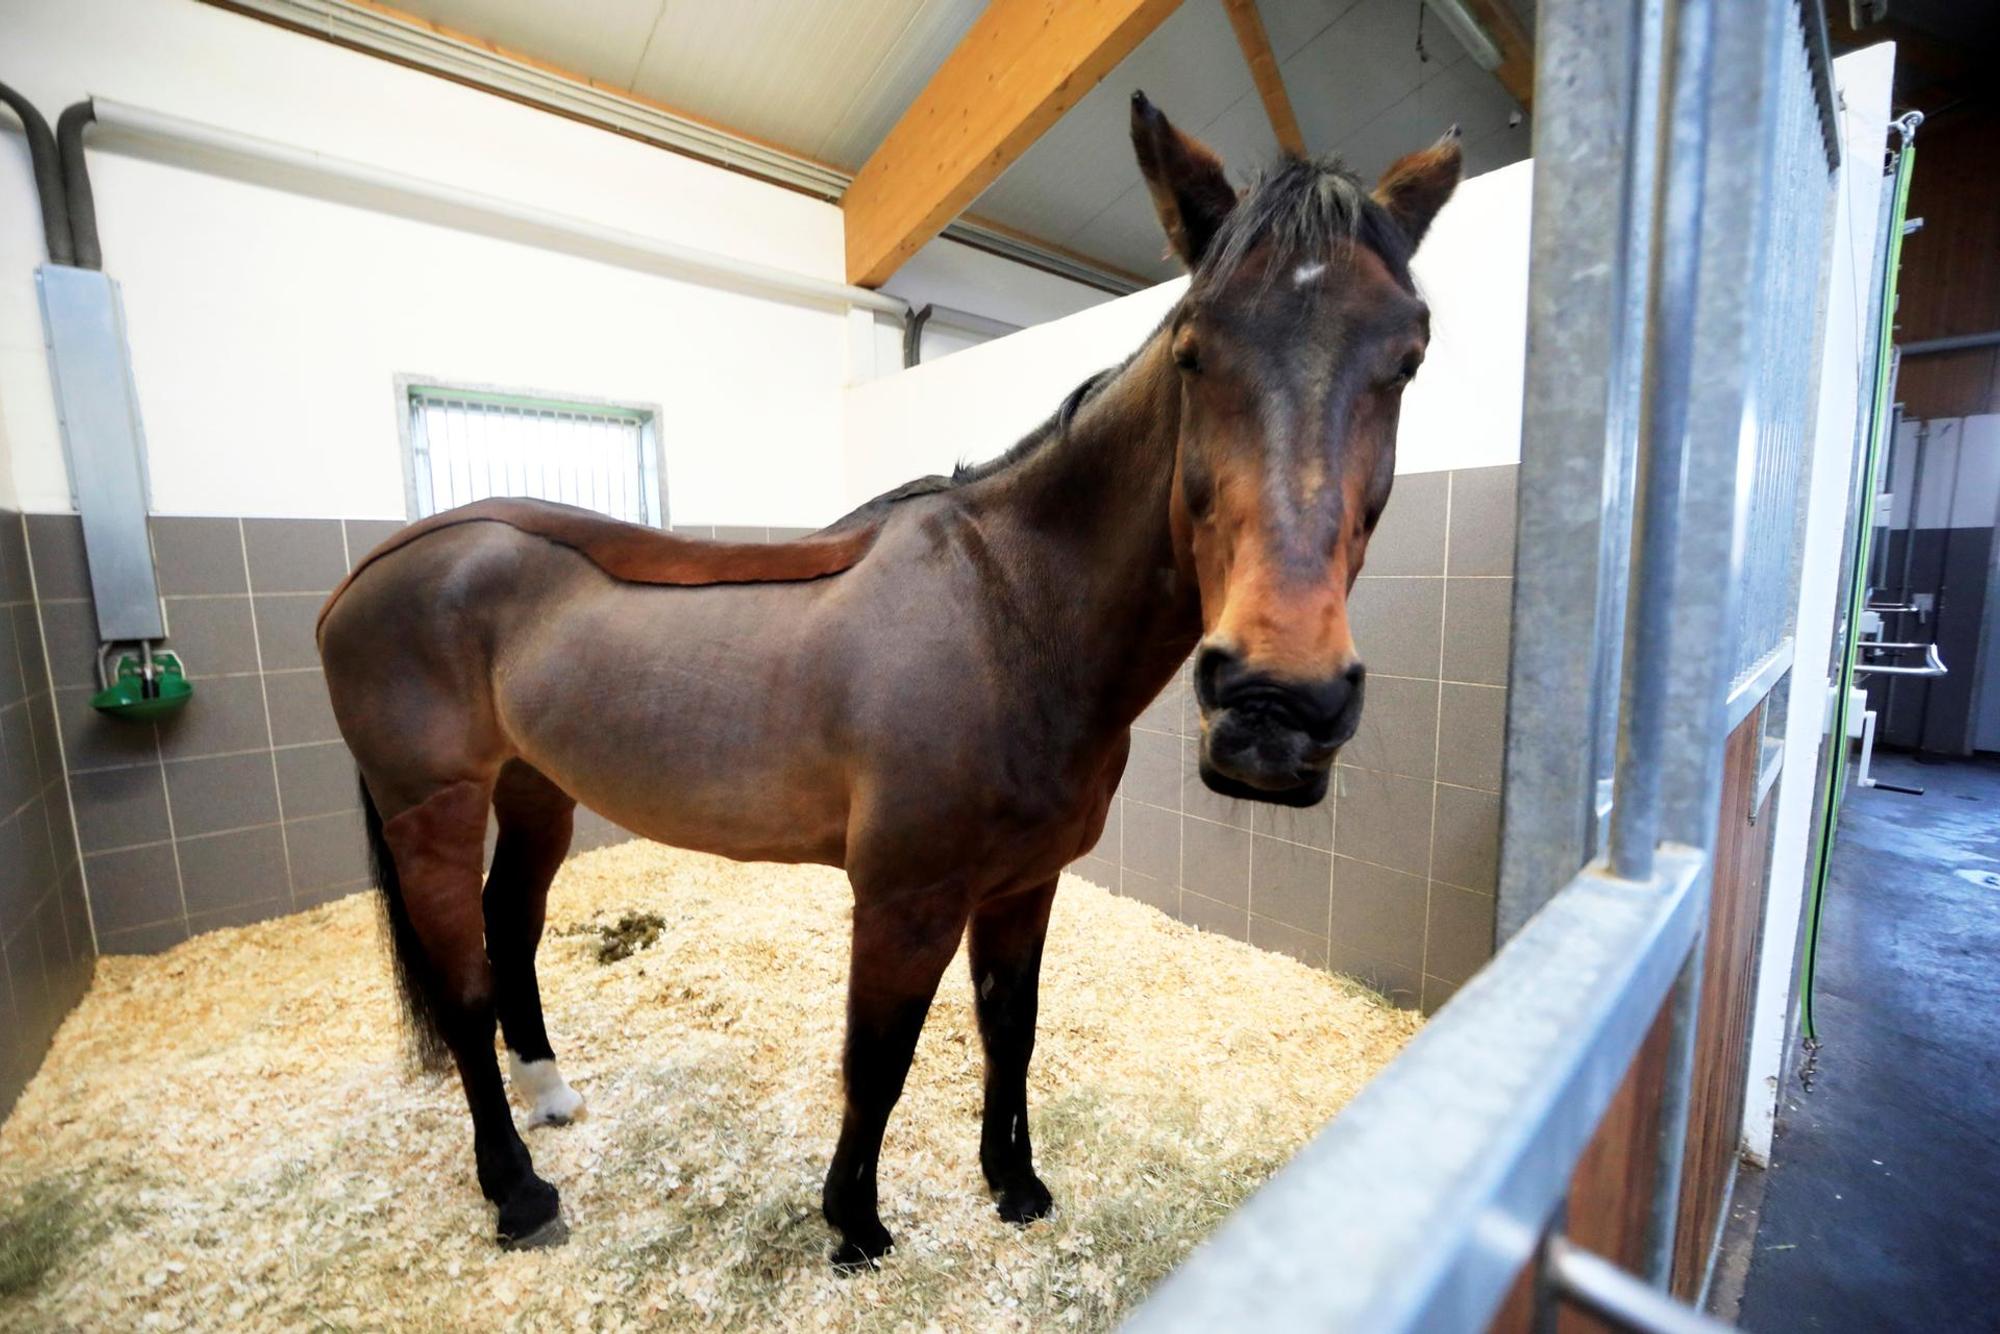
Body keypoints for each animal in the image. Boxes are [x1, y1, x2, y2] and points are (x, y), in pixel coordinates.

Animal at [317, 93, 1460, 1266]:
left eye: (1408, 356)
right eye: (1194, 347)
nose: (1277, 707)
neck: (1009, 610)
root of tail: (380, 564)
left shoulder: (1024, 883)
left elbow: (1010, 1030)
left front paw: (1014, 1182)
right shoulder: (905, 897)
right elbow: (880, 1056)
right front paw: (855, 1221)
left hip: (535, 788)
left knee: (510, 929)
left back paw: (548, 1094)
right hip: (432, 807)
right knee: (461, 987)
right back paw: (517, 1190)